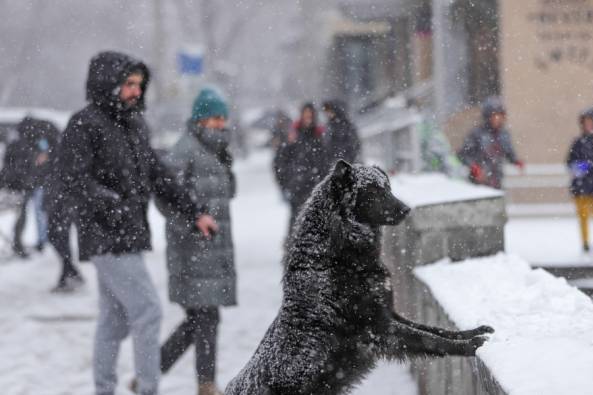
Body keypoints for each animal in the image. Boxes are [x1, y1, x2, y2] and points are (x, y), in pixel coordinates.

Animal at [224, 161, 492, 395]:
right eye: (373, 192)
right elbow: (429, 339)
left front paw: (472, 331)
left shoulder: (389, 314)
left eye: (388, 188)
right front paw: (469, 346)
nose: (406, 209)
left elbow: (436, 330)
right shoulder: (379, 329)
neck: (334, 261)